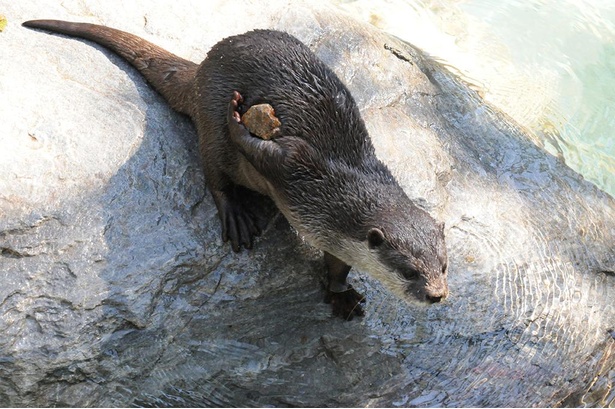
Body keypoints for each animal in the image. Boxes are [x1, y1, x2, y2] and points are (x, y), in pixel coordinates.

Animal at [21, 19, 450, 318]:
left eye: (444, 266)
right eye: (409, 271)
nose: (437, 295)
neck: (343, 187)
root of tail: (202, 68)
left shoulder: (334, 232)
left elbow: (338, 268)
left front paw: (340, 295)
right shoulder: (298, 166)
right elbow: (257, 148)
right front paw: (238, 121)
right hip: (210, 124)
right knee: (214, 172)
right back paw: (236, 215)